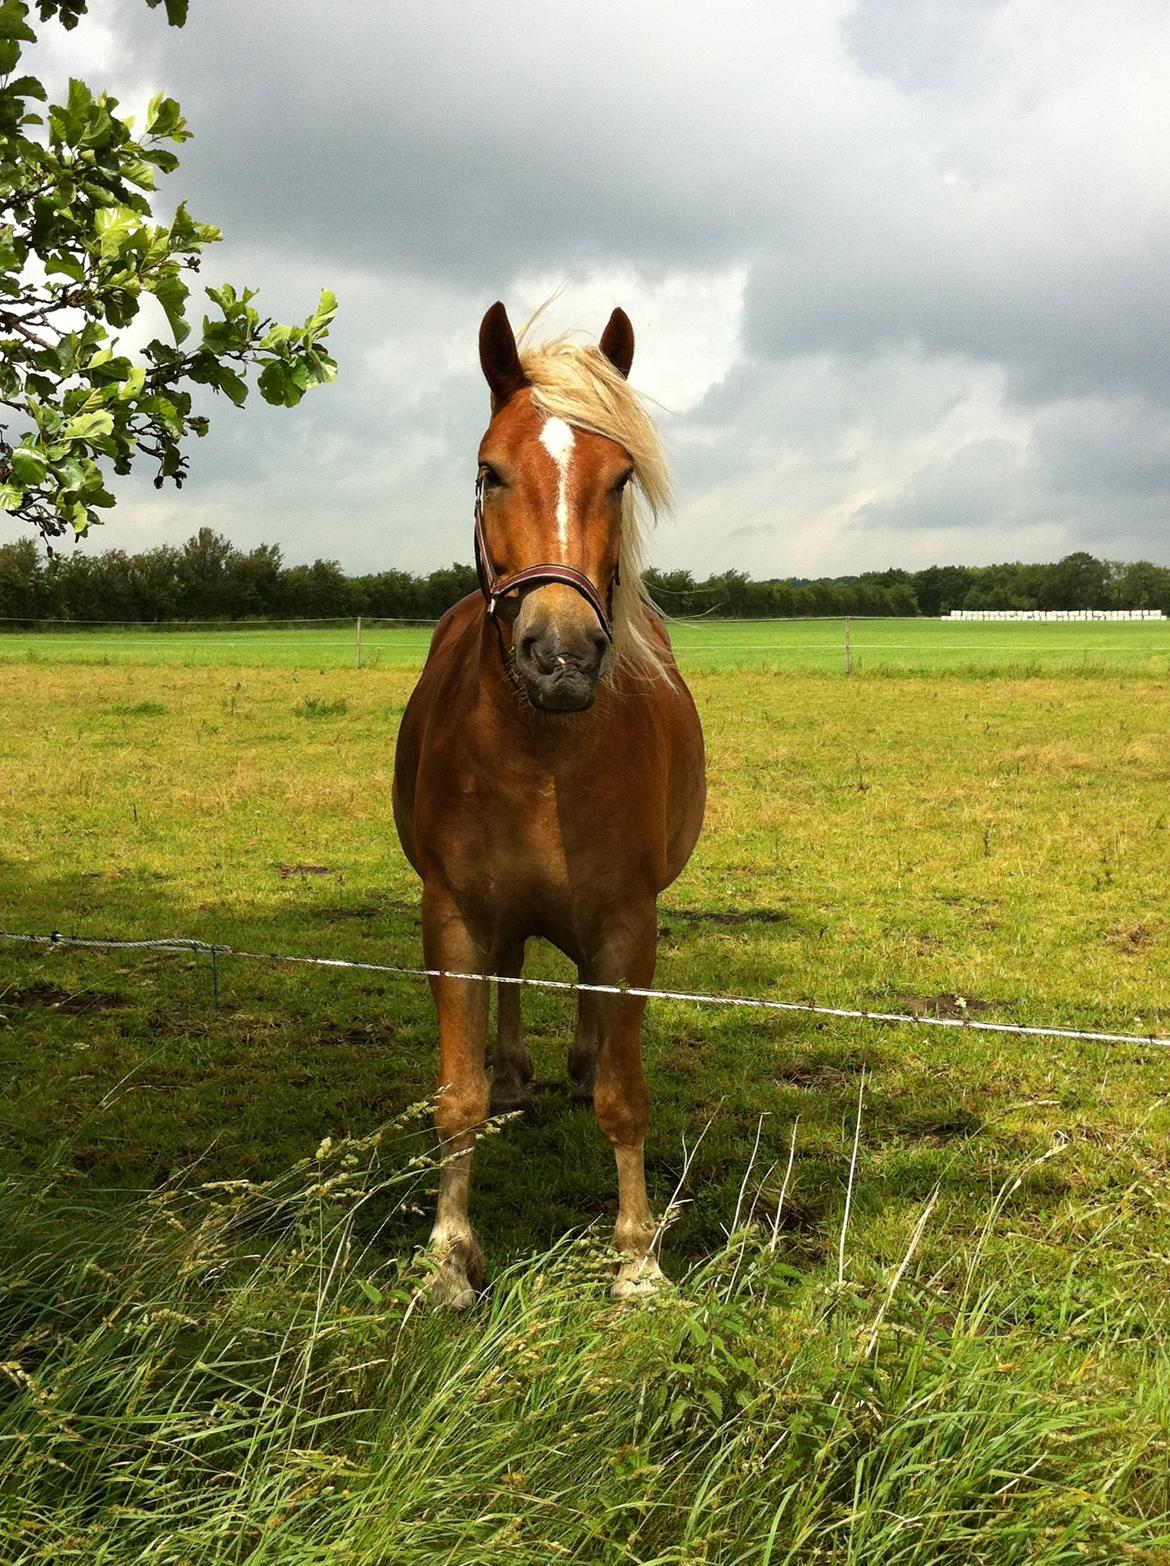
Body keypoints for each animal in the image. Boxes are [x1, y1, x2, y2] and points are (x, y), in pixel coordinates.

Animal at [393, 299, 704, 1302]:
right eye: (491, 472)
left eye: (621, 477)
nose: (561, 656)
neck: (541, 756)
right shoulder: (452, 917)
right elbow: (455, 1096)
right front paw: (449, 1255)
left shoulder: (628, 922)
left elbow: (624, 1095)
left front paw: (637, 1259)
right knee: (515, 970)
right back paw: (519, 1071)